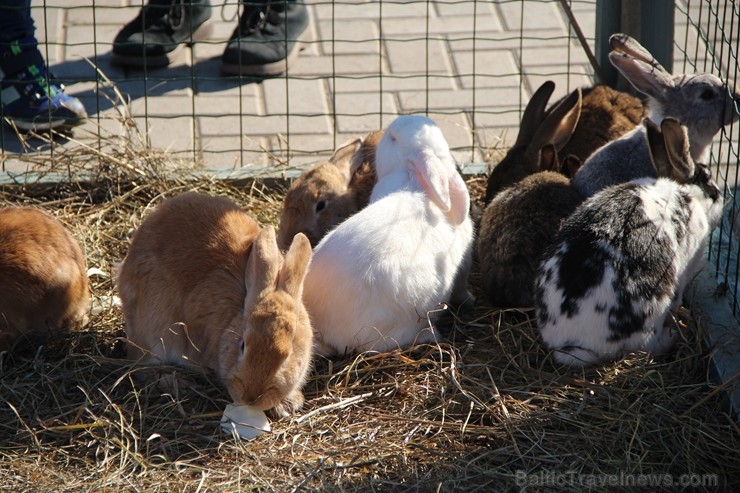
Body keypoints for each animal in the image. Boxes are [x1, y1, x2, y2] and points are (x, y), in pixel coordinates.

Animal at [117, 192, 314, 416]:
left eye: (287, 355)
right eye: (242, 345)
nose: (251, 398)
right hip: (157, 329)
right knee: (140, 365)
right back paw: (179, 383)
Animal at [536, 118, 724, 366]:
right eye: (711, 187)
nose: (722, 196)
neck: (686, 191)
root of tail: (574, 343)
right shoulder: (684, 273)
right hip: (654, 310)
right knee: (649, 346)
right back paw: (673, 334)